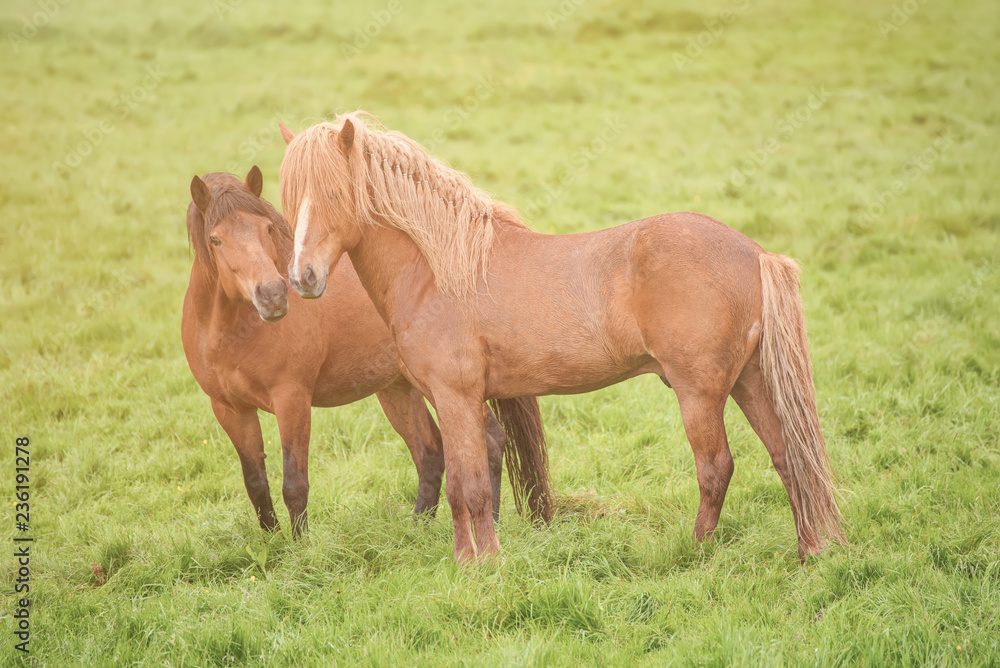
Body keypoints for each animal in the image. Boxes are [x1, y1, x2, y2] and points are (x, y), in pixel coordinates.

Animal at [180, 167, 551, 537]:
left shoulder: (292, 400)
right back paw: (417, 529)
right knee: (430, 452)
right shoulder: (230, 410)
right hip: (400, 388)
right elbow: (256, 483)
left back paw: (489, 523)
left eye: (267, 229)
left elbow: (294, 484)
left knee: (489, 440)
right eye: (216, 239)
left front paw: (299, 546)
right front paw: (272, 542)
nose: (272, 295)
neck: (232, 332)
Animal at [278, 112, 845, 564]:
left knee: (716, 469)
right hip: (749, 382)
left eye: (334, 193)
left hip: (700, 393)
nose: (302, 277)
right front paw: (465, 559)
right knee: (788, 458)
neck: (437, 270)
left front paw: (484, 564)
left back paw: (696, 552)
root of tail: (755, 253)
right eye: (289, 201)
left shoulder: (456, 397)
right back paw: (809, 552)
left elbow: (472, 486)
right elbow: (461, 482)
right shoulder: (453, 399)